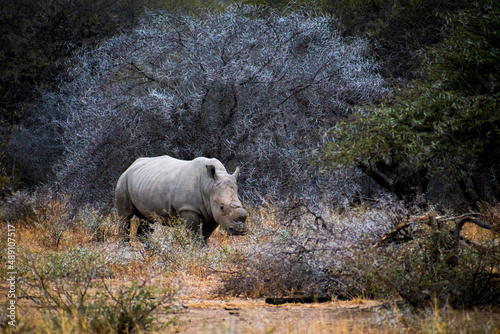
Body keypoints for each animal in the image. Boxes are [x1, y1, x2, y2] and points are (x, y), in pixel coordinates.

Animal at [115, 155, 248, 241]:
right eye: (222, 207)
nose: (238, 231)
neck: (209, 185)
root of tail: (132, 165)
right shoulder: (188, 208)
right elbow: (195, 234)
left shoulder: (213, 212)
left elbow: (206, 235)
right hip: (123, 179)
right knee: (125, 216)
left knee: (146, 219)